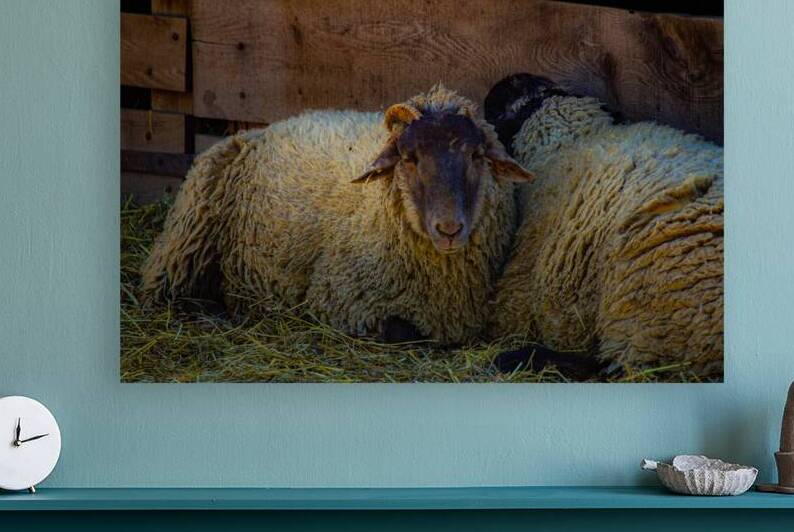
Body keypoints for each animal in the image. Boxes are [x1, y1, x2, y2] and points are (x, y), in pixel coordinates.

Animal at [140, 85, 534, 345]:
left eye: (476, 156)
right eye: (409, 158)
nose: (449, 228)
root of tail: (256, 130)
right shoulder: (342, 299)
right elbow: (404, 332)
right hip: (184, 240)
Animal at [484, 74, 724, 379]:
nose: (507, 80)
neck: (578, 137)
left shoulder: (523, 274)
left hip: (652, 311)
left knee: (616, 366)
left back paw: (519, 358)